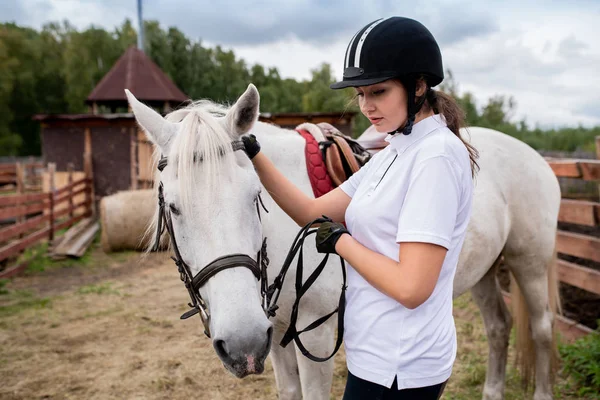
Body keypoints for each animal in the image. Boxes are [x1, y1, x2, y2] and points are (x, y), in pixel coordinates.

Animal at [125, 85, 564, 400]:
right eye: (174, 208)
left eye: (254, 196)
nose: (240, 342)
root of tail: (536, 157)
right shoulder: (274, 335)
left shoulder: (313, 336)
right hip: (485, 272)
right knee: (498, 327)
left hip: (529, 262)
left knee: (542, 329)